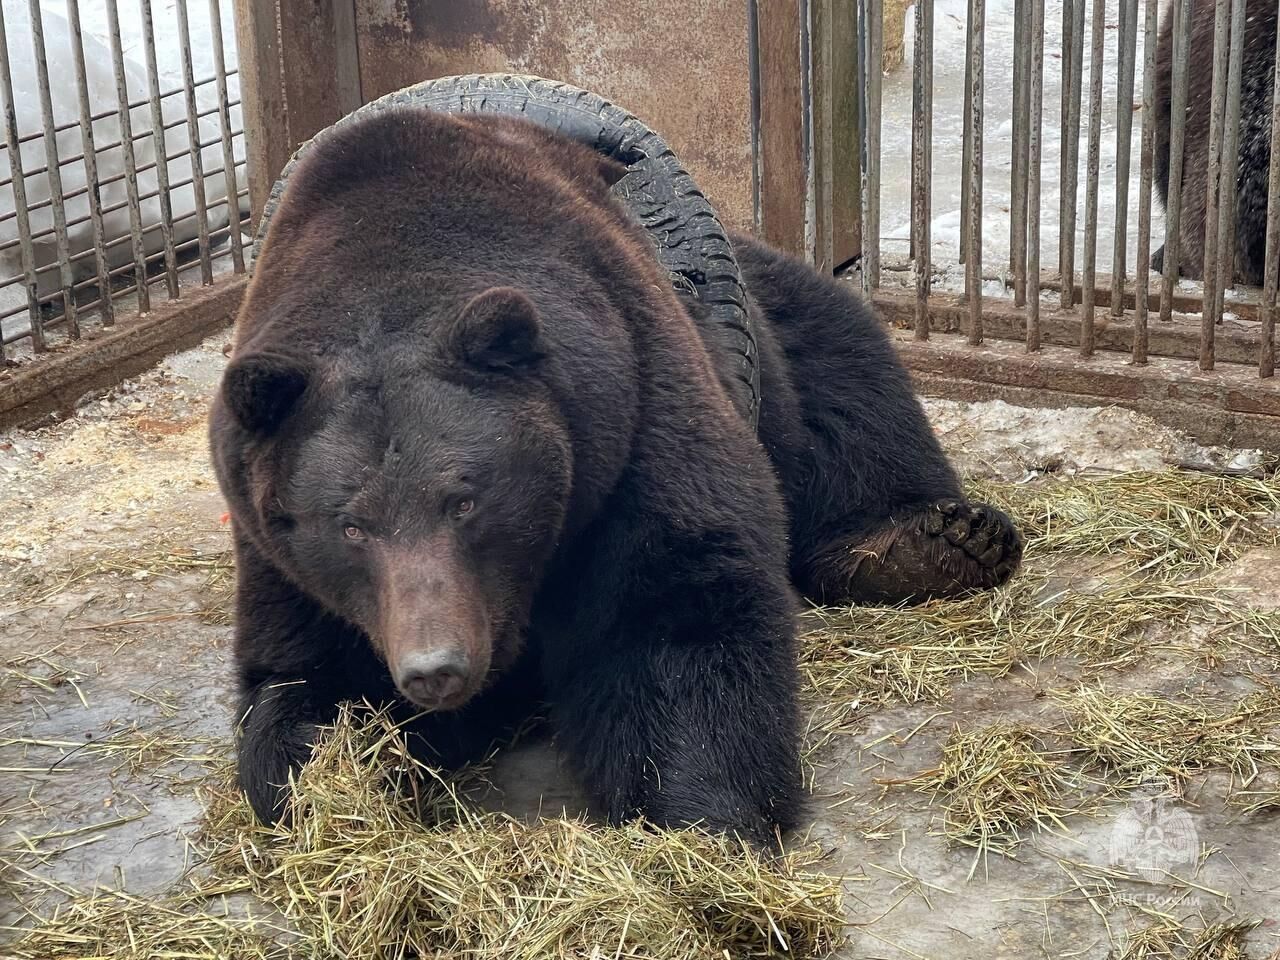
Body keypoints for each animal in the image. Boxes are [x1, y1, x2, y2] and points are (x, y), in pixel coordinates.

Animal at [215, 106, 1024, 849]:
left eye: (465, 500)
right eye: (350, 525)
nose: (435, 666)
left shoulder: (627, 408)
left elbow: (671, 607)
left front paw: (703, 816)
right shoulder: (284, 557)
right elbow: (306, 682)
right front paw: (334, 786)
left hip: (771, 331)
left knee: (846, 378)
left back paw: (935, 542)